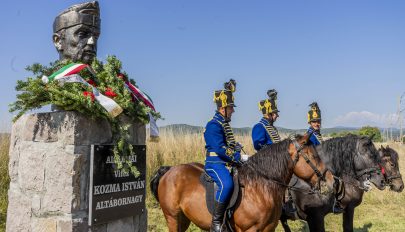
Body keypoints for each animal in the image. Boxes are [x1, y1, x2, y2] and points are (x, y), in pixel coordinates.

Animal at [148, 135, 334, 231]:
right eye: (313, 156)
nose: (331, 180)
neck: (260, 188)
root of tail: (169, 170)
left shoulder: (268, 228)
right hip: (172, 217)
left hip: (183, 219)